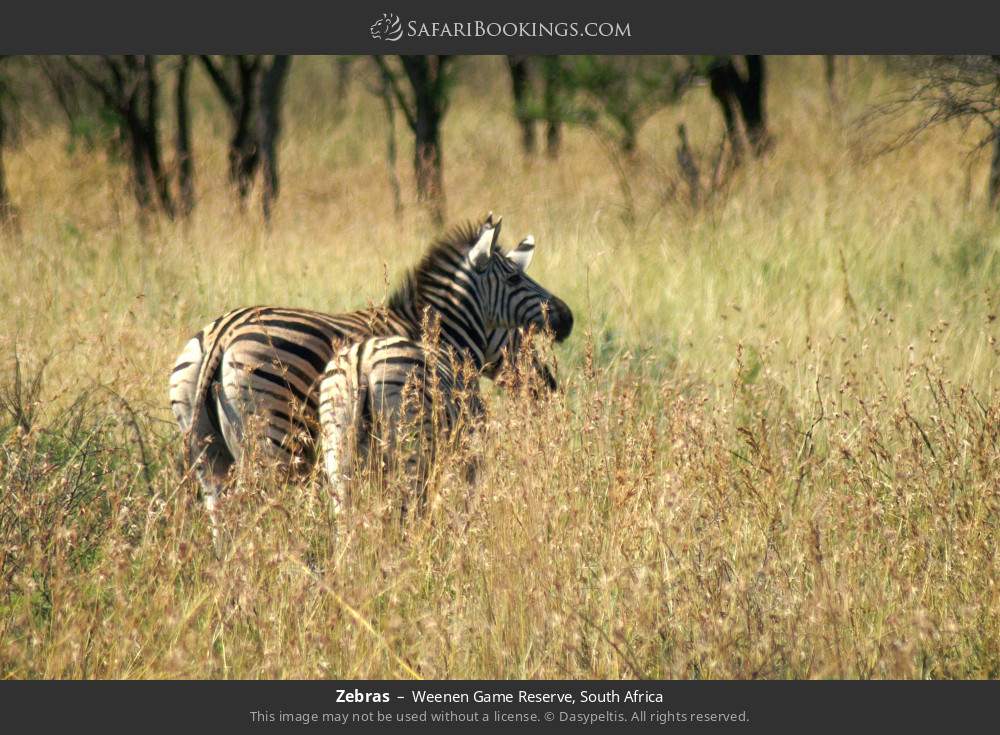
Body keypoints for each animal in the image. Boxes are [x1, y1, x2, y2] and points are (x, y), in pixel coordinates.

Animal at [169, 214, 572, 510]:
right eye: (515, 278)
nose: (567, 319)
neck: (433, 329)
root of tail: (222, 334)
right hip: (276, 437)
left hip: (206, 443)